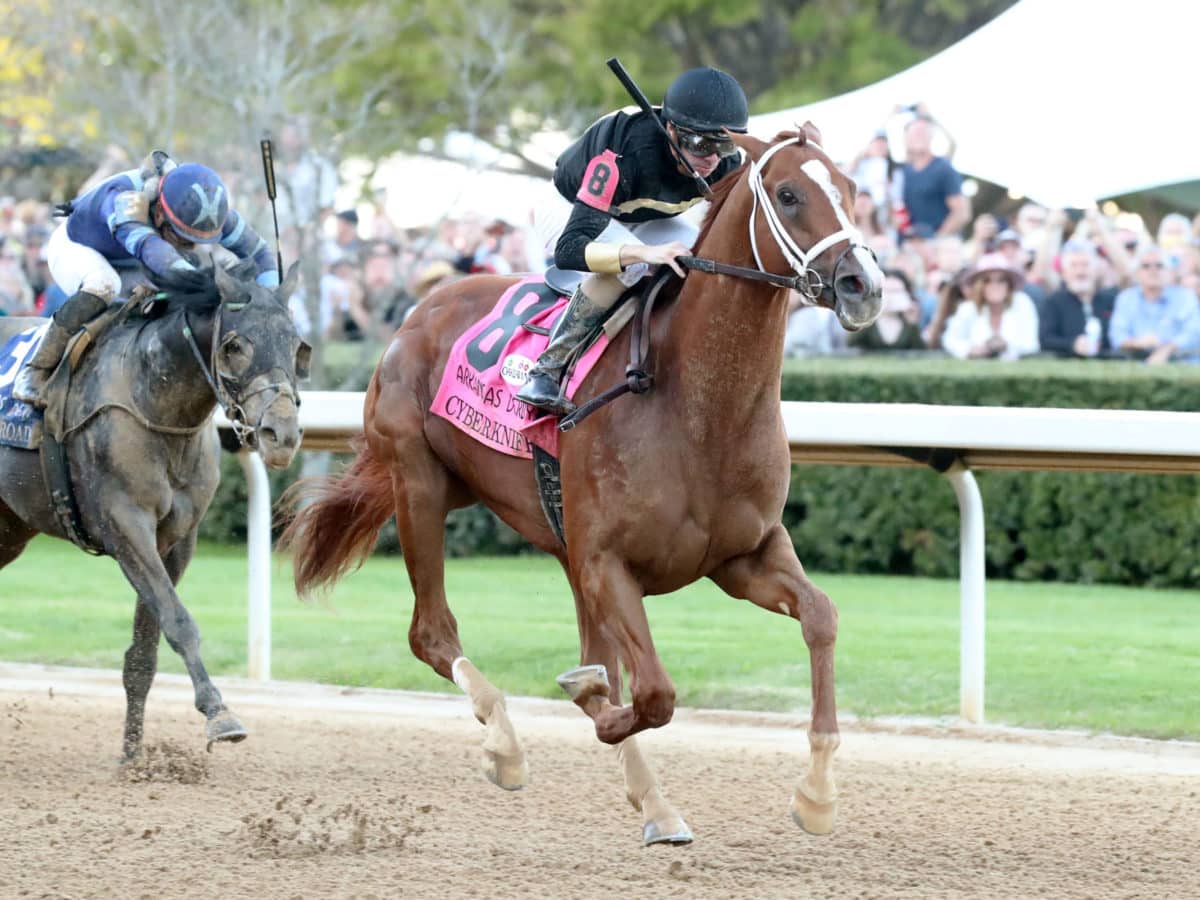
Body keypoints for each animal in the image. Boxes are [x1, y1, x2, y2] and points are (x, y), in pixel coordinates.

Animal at [0, 260, 307, 763]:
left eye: (298, 345)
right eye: (234, 345)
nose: (280, 434)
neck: (156, 403)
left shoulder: (176, 539)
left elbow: (146, 648)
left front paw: (133, 758)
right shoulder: (125, 525)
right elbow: (179, 622)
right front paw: (220, 714)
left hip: (9, 527)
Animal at [280, 127, 883, 844]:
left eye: (852, 189)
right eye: (789, 195)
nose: (863, 284)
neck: (700, 406)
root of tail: (418, 310)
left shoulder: (743, 554)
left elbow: (820, 616)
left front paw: (817, 793)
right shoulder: (606, 563)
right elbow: (651, 693)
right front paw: (588, 703)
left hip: (528, 521)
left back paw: (649, 798)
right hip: (418, 484)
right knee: (432, 633)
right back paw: (507, 746)